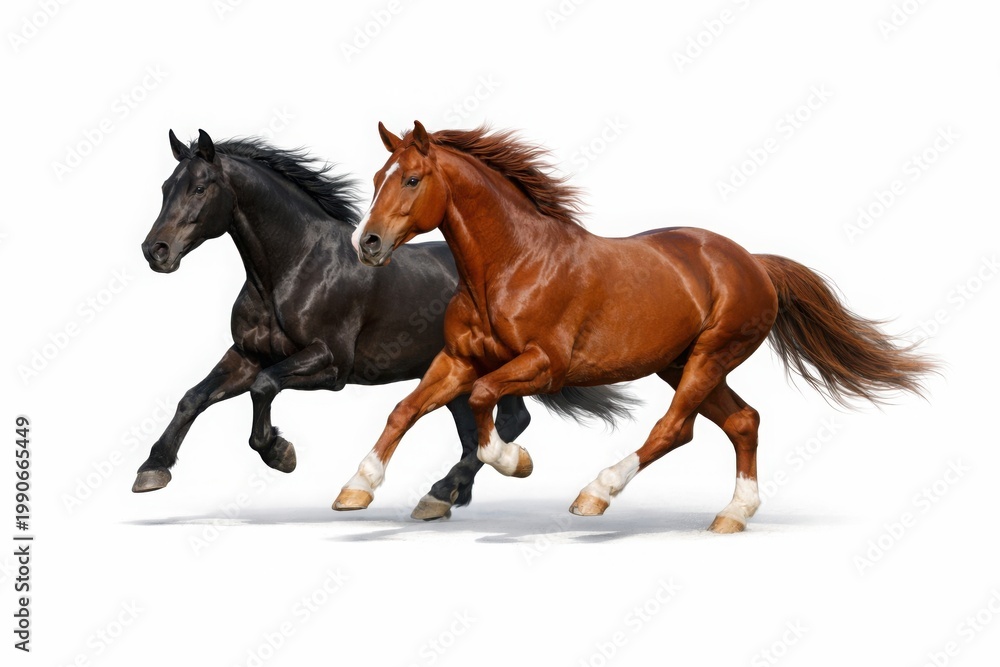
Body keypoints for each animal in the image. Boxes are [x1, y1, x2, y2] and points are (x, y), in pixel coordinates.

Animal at [135, 129, 635, 520]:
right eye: (165, 186)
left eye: (200, 188)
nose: (155, 251)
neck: (291, 268)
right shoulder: (246, 354)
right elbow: (193, 398)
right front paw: (152, 469)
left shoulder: (330, 364)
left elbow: (265, 386)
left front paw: (281, 453)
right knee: (480, 426)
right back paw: (446, 496)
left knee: (512, 419)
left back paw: (444, 491)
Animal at [333, 121, 934, 533]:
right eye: (377, 178)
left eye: (412, 179)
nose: (367, 244)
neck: (512, 266)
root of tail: (754, 262)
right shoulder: (458, 358)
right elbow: (405, 409)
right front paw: (357, 489)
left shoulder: (544, 365)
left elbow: (483, 402)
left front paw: (515, 463)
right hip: (680, 362)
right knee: (742, 421)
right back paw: (734, 514)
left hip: (711, 354)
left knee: (676, 428)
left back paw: (596, 493)